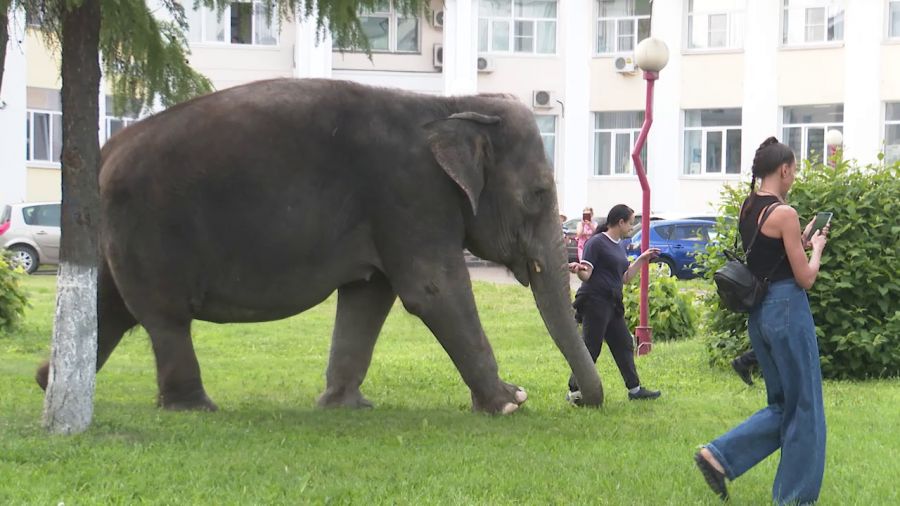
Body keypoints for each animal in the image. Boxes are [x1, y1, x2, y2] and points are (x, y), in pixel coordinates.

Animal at [35, 77, 600, 414]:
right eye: (539, 193)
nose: (578, 397)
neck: (453, 105)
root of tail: (105, 152)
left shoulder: (390, 211)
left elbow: (369, 298)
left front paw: (345, 405)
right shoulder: (409, 194)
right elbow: (433, 291)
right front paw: (510, 402)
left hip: (116, 236)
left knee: (111, 307)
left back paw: (48, 381)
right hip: (148, 229)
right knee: (164, 319)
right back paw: (194, 407)